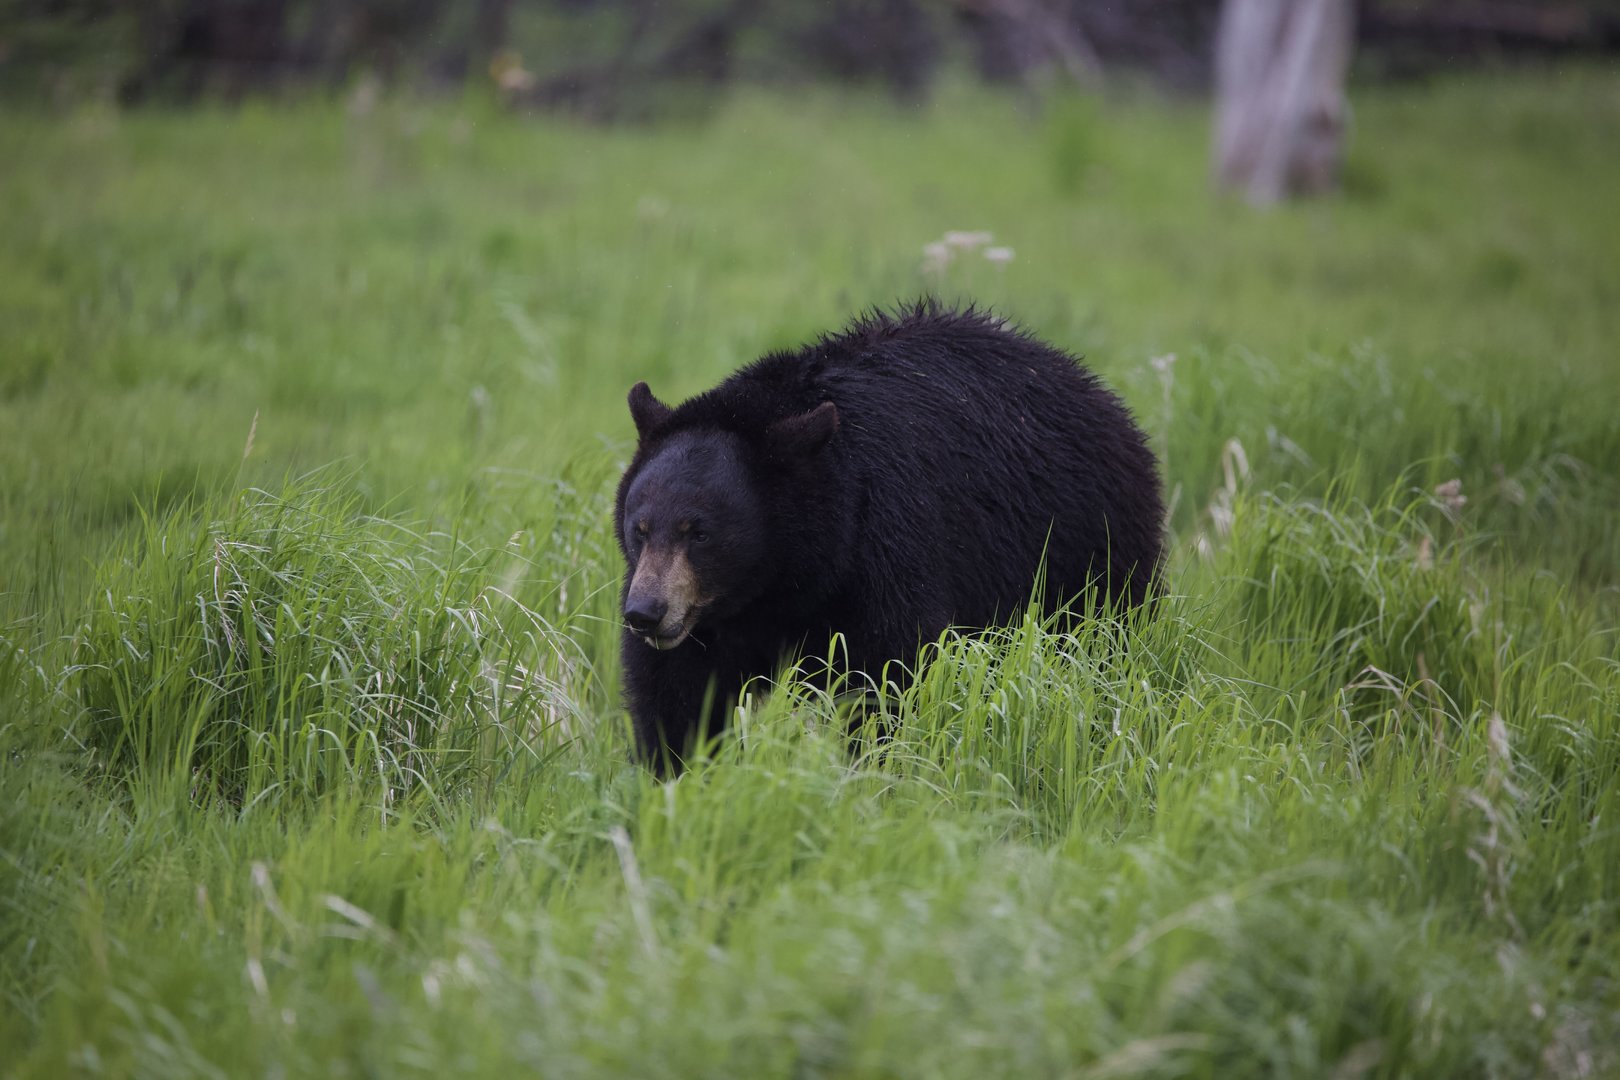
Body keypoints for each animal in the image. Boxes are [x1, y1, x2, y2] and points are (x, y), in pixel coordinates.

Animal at [614, 302, 1163, 773]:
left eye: (699, 532)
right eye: (639, 529)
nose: (645, 612)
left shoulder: (885, 543)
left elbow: (889, 675)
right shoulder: (706, 619)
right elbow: (675, 694)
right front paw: (675, 775)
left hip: (1088, 550)